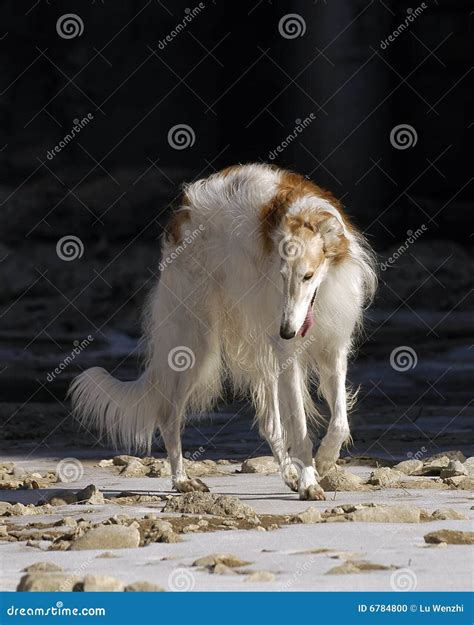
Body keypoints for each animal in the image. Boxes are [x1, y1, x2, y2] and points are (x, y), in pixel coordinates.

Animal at [70, 163, 376, 500]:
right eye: (282, 276)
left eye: (308, 276)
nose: (286, 331)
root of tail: (183, 210)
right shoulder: (288, 354)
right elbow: (300, 428)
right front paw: (310, 480)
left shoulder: (333, 349)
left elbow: (339, 422)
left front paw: (324, 461)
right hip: (195, 343)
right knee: (168, 415)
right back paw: (181, 480)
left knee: (270, 424)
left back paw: (289, 475)